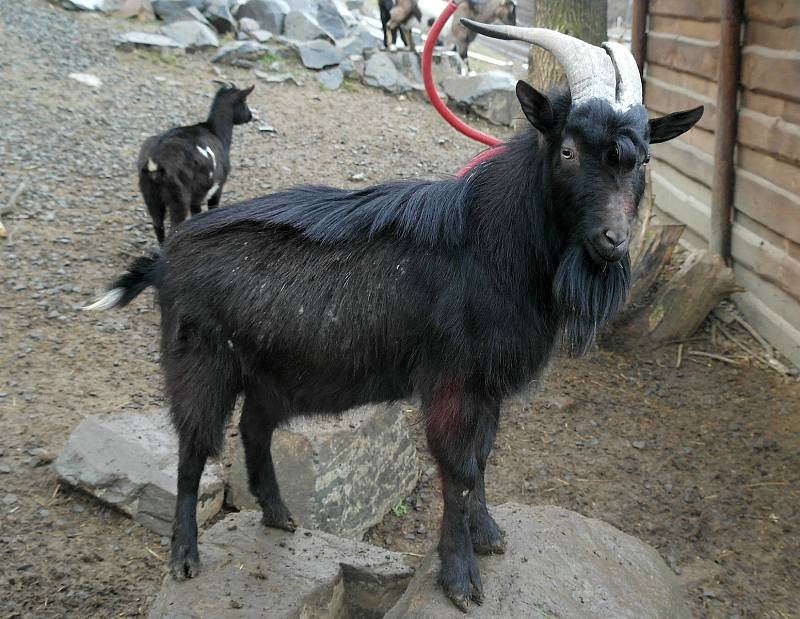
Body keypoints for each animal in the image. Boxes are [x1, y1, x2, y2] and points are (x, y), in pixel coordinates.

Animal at [138, 81, 255, 245]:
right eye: (244, 101)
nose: (250, 116)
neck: (216, 133)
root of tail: (154, 161)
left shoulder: (196, 199)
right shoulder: (216, 187)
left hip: (151, 196)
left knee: (158, 225)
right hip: (178, 198)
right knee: (174, 226)